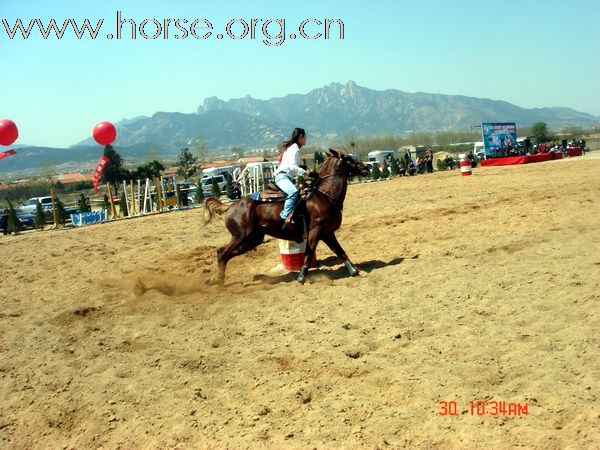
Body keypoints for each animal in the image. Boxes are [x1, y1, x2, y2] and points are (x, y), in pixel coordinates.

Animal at [204, 151, 368, 284]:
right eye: (348, 158)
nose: (365, 168)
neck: (325, 196)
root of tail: (229, 207)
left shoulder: (327, 232)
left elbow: (340, 251)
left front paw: (354, 271)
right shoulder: (315, 230)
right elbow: (309, 253)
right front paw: (302, 278)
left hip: (254, 239)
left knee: (226, 254)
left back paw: (217, 280)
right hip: (241, 236)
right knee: (222, 252)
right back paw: (219, 282)